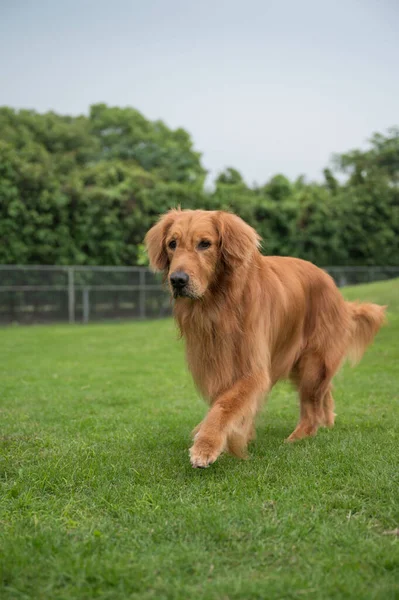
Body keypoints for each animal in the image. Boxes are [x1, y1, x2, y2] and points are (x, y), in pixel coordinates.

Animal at [145, 209, 386, 466]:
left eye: (205, 244)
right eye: (172, 244)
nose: (178, 280)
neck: (218, 306)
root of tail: (335, 290)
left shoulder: (253, 369)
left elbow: (225, 405)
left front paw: (206, 445)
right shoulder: (216, 364)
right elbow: (224, 404)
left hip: (314, 362)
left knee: (311, 407)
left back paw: (298, 437)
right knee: (324, 393)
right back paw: (327, 421)